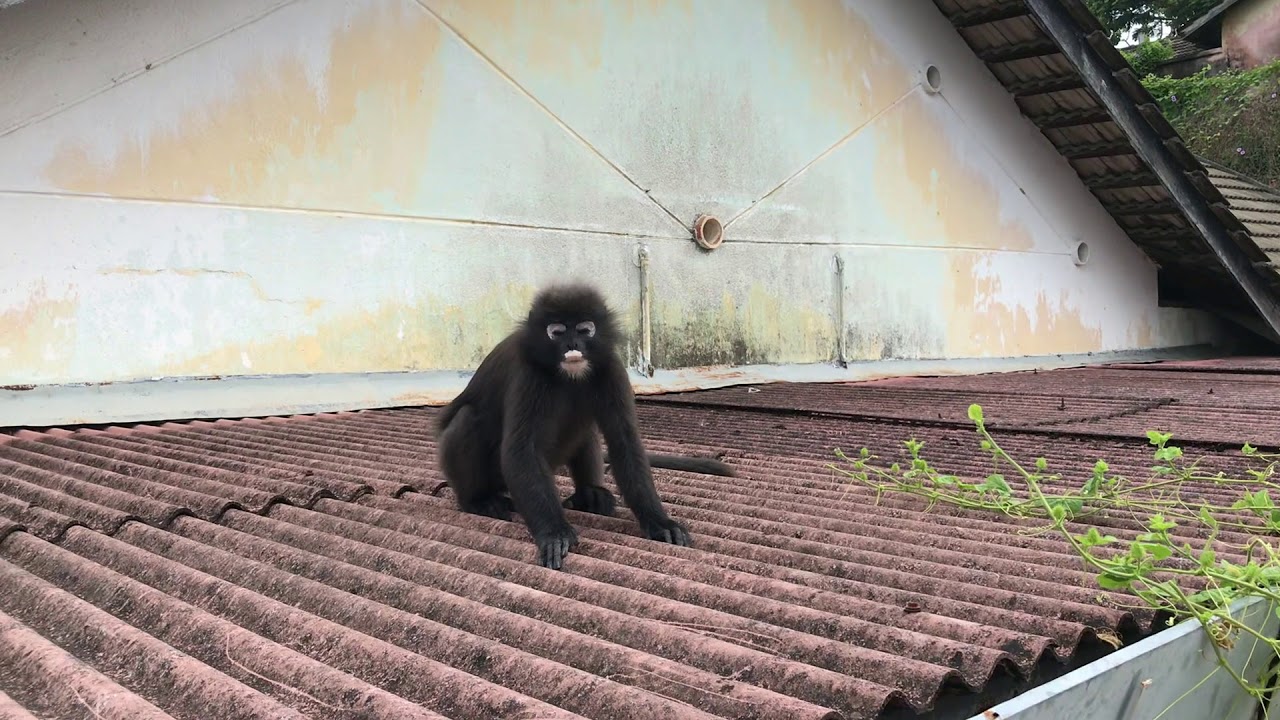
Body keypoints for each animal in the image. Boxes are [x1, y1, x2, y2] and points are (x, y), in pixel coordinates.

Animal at [435, 282, 735, 569]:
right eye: (557, 332)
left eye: (584, 330)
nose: (572, 345)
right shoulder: (529, 372)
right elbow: (521, 450)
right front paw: (554, 532)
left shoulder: (611, 367)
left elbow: (624, 442)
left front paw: (660, 522)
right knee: (467, 419)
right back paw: (478, 500)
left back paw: (589, 495)